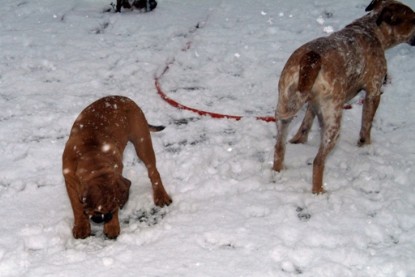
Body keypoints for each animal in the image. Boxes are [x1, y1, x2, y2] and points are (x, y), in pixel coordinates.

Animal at [62, 95, 172, 237]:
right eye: (97, 211)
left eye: (113, 208)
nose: (105, 218)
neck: (91, 155)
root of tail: (125, 98)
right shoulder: (69, 181)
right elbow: (76, 206)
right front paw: (81, 226)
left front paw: (112, 225)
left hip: (142, 142)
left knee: (153, 171)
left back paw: (161, 195)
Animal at [272, 0, 415, 193]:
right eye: (414, 20)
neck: (372, 30)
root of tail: (312, 58)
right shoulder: (374, 92)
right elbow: (366, 125)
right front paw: (365, 146)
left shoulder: (313, 103)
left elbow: (306, 121)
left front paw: (300, 139)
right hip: (334, 122)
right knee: (318, 161)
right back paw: (319, 192)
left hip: (285, 105)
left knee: (279, 147)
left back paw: (278, 172)